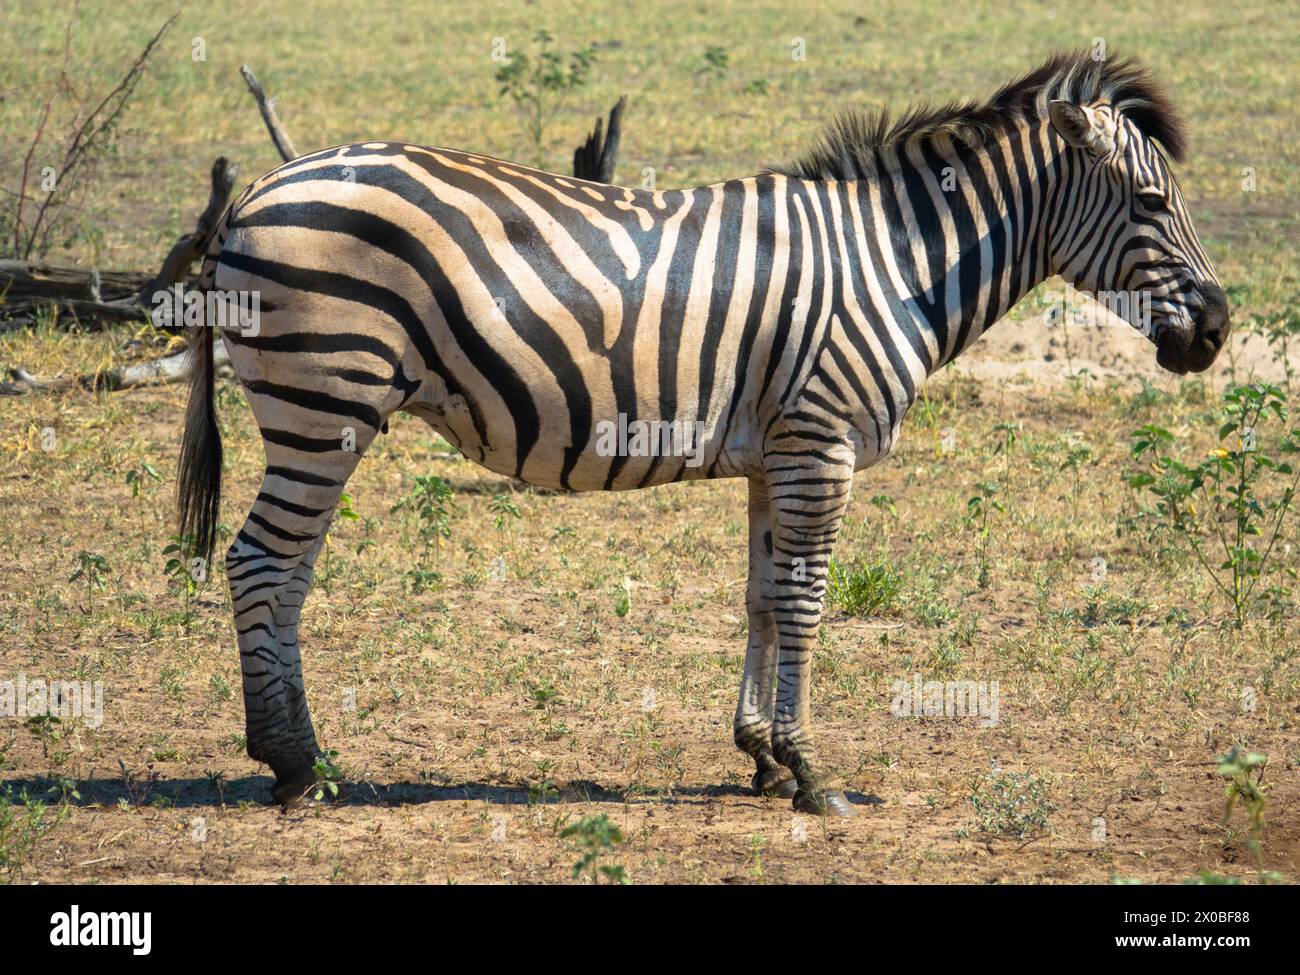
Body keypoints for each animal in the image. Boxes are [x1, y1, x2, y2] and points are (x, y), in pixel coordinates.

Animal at [175, 53, 1227, 816]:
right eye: (1153, 205)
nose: (1217, 332)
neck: (893, 264)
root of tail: (258, 186)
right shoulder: (822, 444)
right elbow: (805, 602)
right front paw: (811, 774)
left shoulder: (782, 449)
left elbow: (762, 596)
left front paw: (760, 755)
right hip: (325, 403)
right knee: (264, 564)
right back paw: (299, 765)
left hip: (322, 410)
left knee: (281, 571)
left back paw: (291, 755)